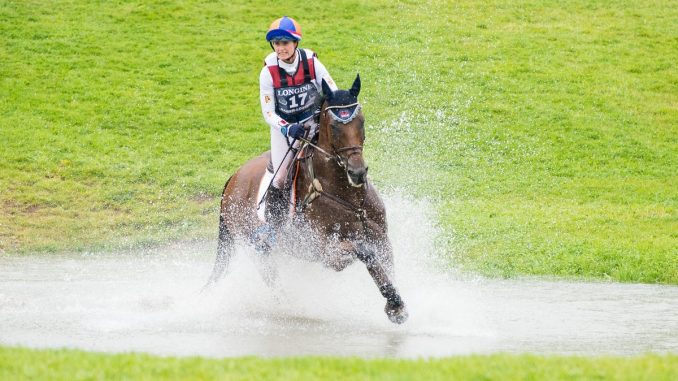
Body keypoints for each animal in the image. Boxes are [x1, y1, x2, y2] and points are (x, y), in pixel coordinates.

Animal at [206, 74, 410, 324]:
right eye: (333, 126)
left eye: (361, 121)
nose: (358, 173)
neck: (348, 195)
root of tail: (232, 179)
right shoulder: (326, 253)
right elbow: (364, 251)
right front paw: (394, 304)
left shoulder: (381, 238)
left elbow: (383, 265)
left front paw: (397, 304)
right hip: (259, 251)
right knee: (275, 284)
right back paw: (293, 310)